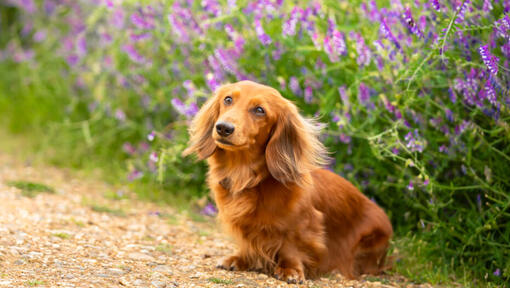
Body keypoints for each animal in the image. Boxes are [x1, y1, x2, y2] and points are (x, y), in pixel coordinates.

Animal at [183, 80, 394, 282]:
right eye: (228, 99)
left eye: (260, 110)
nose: (223, 128)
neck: (248, 176)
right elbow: (247, 243)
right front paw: (240, 259)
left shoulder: (303, 224)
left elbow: (291, 247)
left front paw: (290, 271)